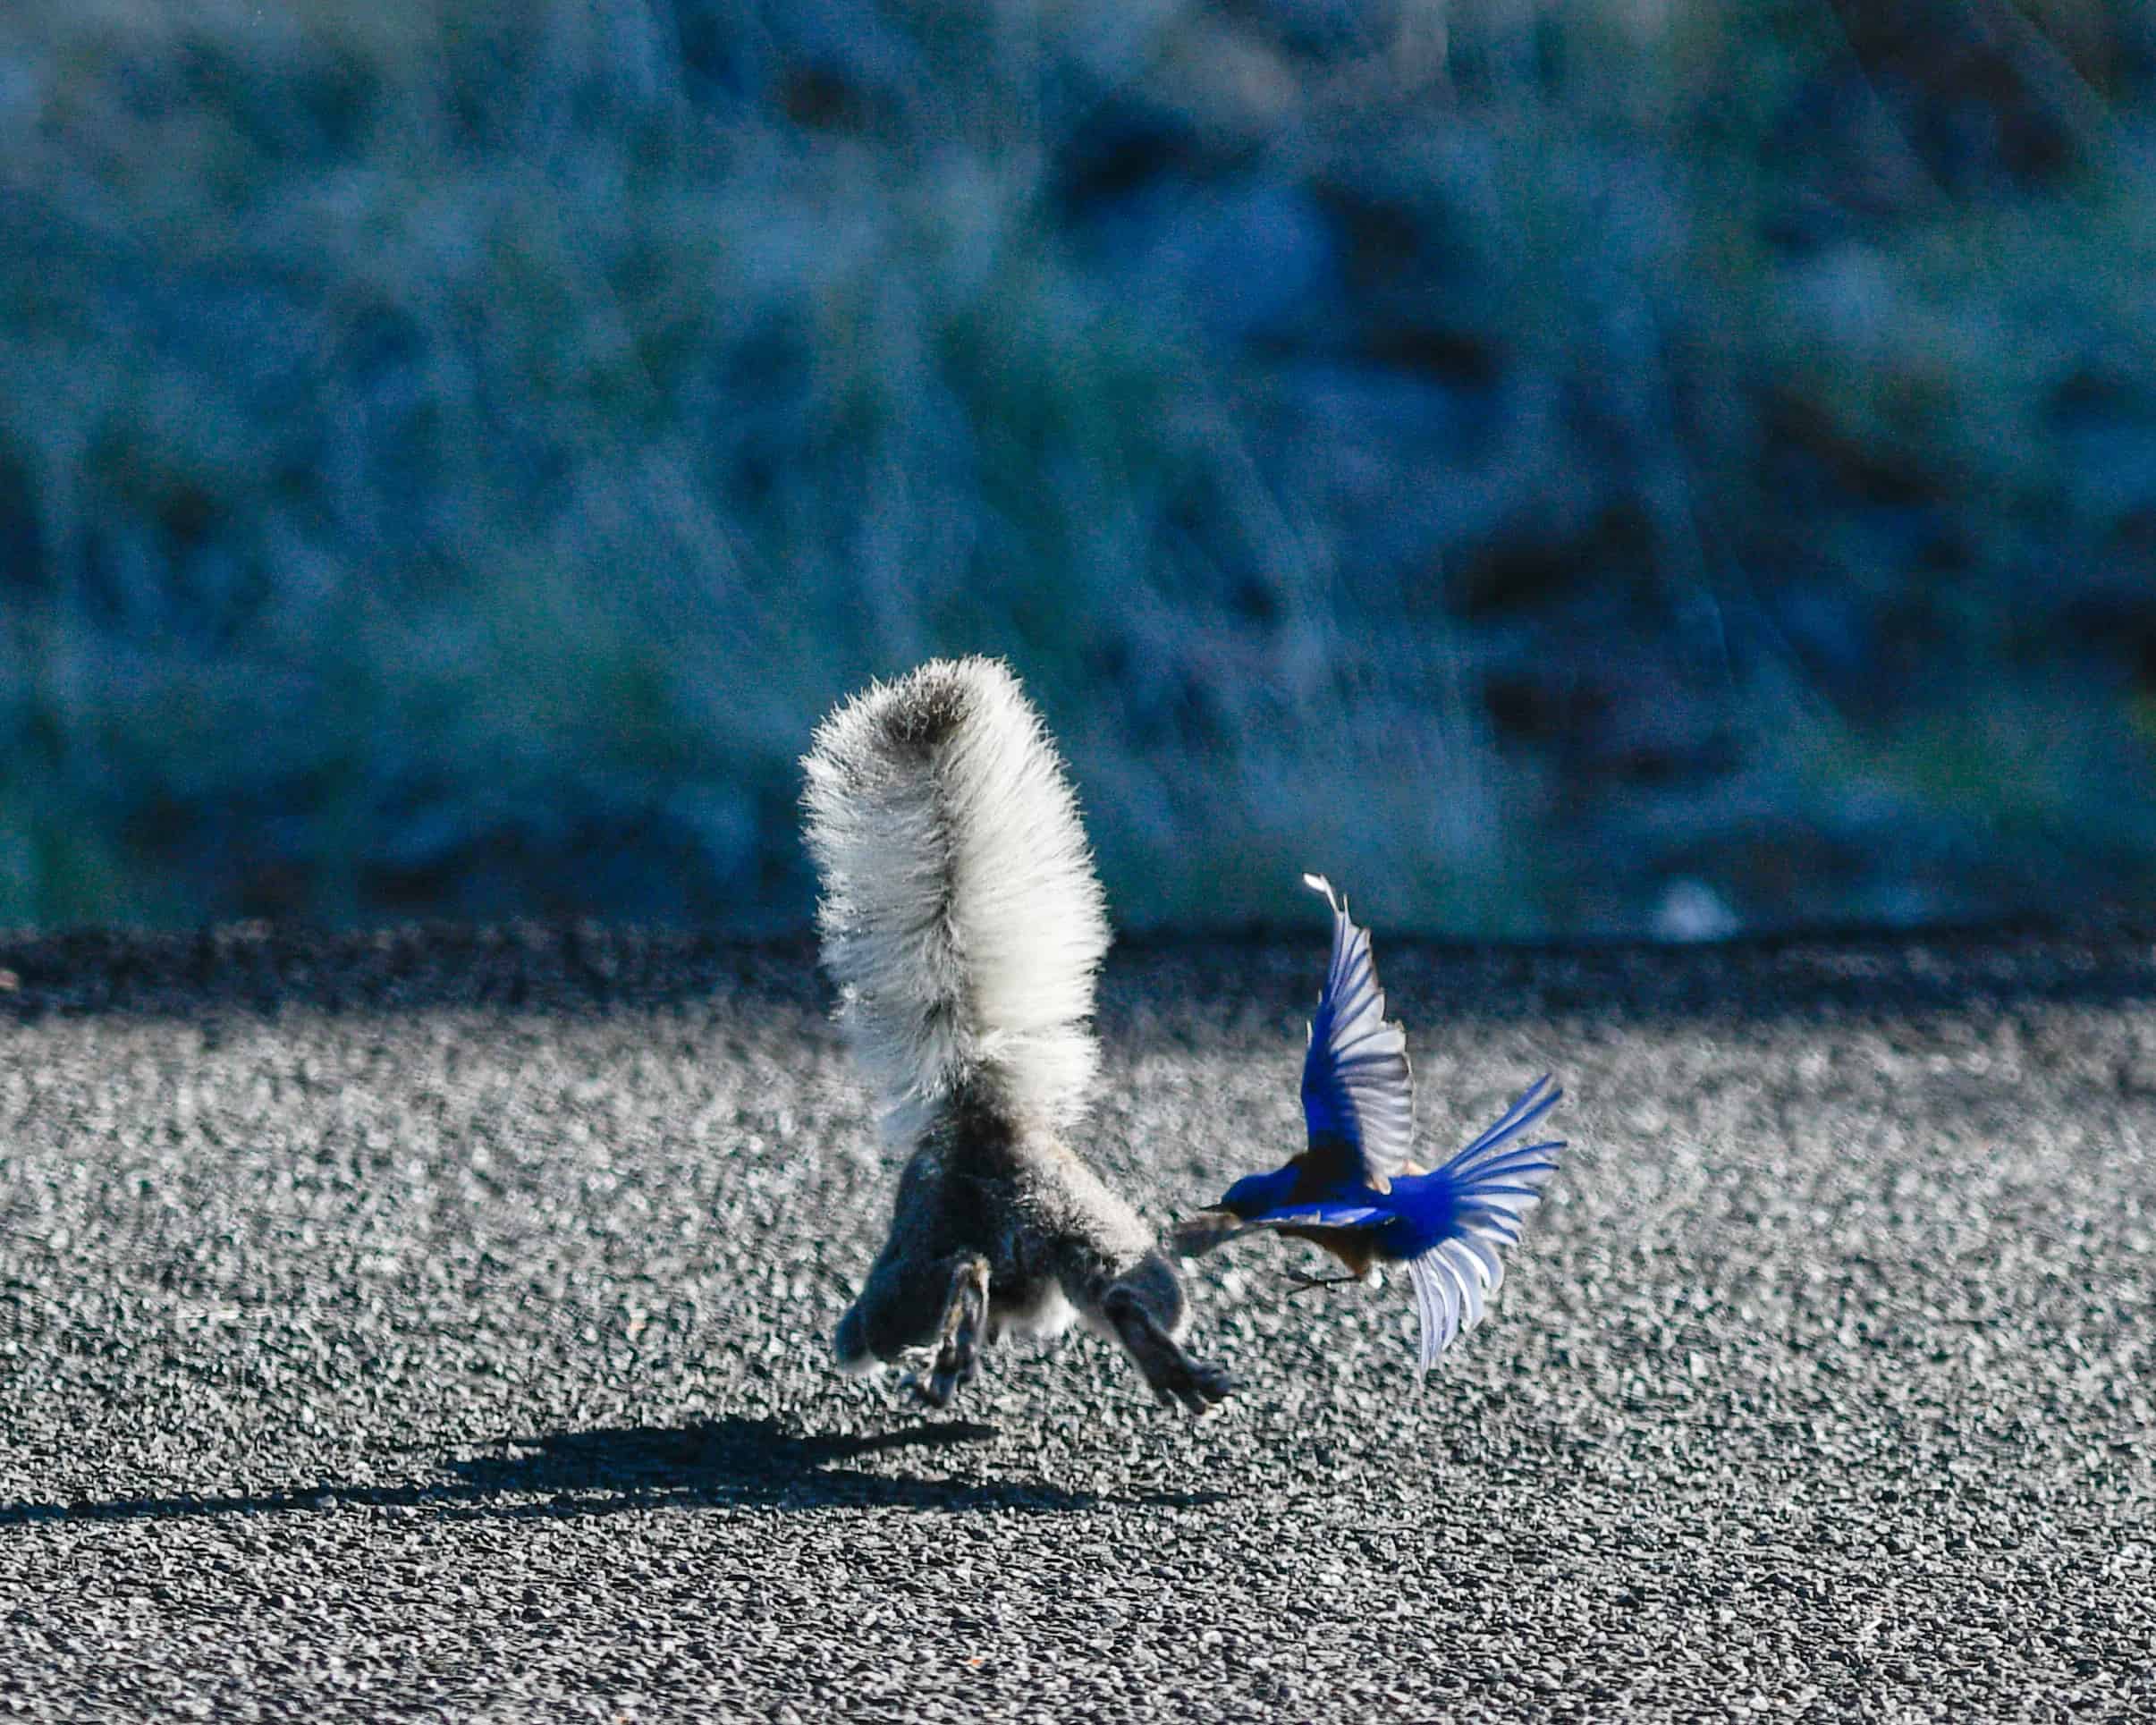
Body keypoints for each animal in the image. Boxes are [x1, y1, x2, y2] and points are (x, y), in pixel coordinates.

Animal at [801, 656, 1235, 1414]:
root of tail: (989, 1125)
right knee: (1122, 1294)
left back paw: (948, 1349)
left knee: (912, 1299)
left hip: (903, 1278)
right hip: (1103, 1240)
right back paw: (1170, 1370)